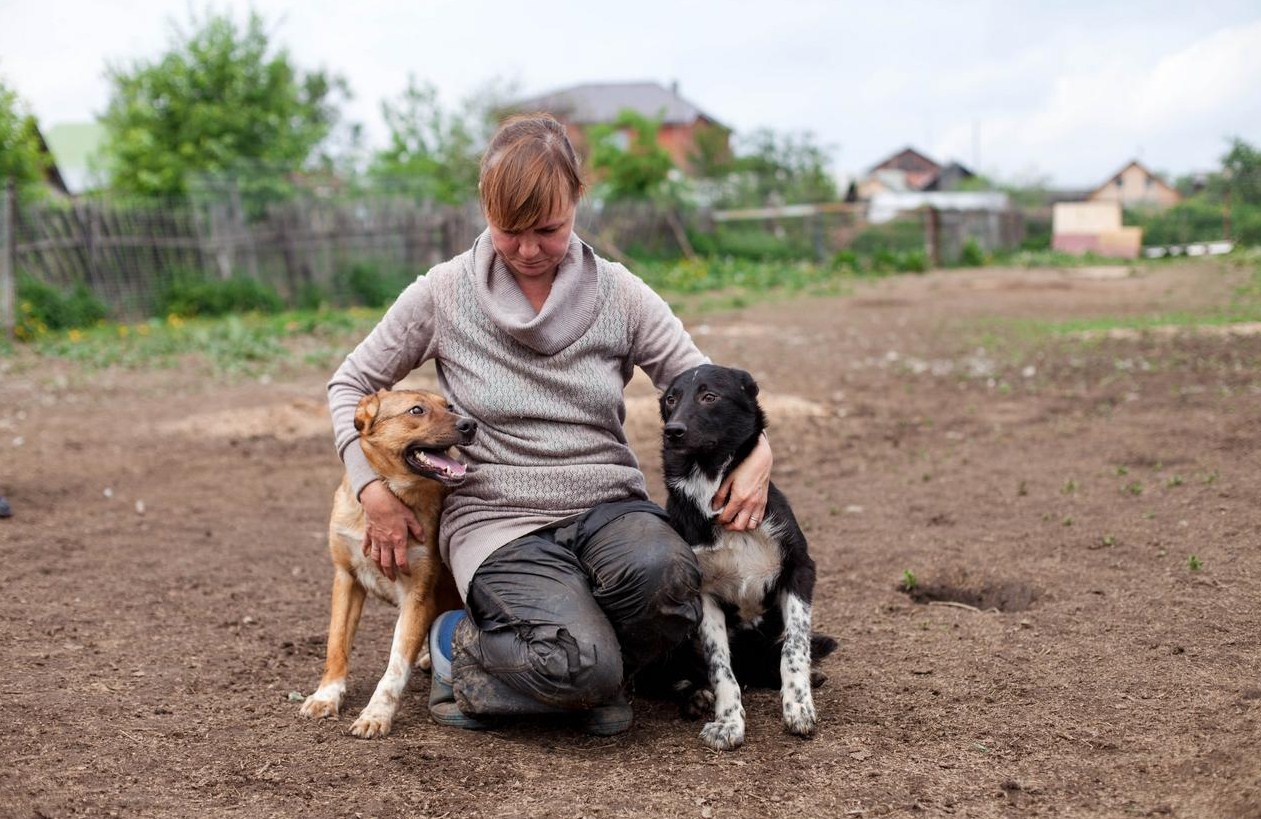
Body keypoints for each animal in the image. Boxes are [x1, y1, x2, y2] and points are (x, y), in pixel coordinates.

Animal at [298, 386, 474, 736]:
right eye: (417, 410)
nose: (470, 425)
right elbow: (336, 644)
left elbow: (395, 666)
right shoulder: (346, 578)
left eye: (448, 406)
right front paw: (326, 695)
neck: (396, 494)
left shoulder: (417, 597)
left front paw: (376, 714)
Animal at [660, 363, 827, 747]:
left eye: (709, 396)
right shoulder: (702, 595)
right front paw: (728, 721)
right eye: (671, 399)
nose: (672, 431)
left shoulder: (800, 569)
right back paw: (694, 696)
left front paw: (799, 705)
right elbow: (721, 667)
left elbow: (794, 647)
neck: (709, 483)